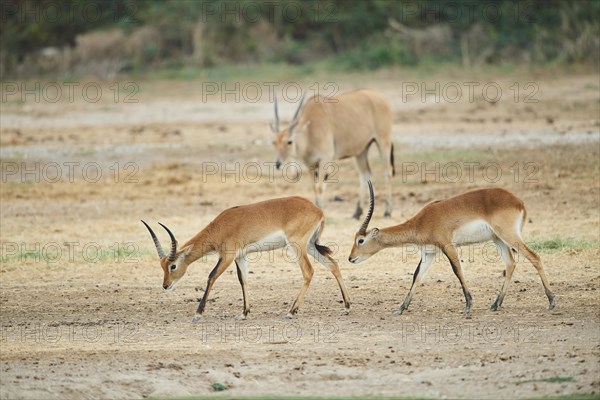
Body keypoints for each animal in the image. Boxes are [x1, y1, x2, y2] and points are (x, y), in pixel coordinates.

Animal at [141, 195, 350, 320]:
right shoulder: (240, 256)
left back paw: (291, 312)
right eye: (162, 267)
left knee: (308, 271)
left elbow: (211, 277)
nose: (166, 285)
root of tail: (318, 210)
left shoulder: (227, 256)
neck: (221, 226)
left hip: (297, 246)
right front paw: (244, 313)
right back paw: (347, 306)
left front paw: (198, 314)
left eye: (173, 266)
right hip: (310, 245)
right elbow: (243, 280)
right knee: (333, 264)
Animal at [270, 88, 394, 219]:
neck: (310, 131)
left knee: (387, 172)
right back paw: (357, 212)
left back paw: (387, 211)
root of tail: (381, 97)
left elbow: (320, 187)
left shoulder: (325, 159)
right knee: (365, 174)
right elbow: (315, 187)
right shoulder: (311, 164)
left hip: (383, 142)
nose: (278, 164)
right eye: (274, 142)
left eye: (289, 141)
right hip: (361, 151)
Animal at [350, 181, 556, 316]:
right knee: (511, 264)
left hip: (508, 236)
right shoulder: (429, 253)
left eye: (360, 240)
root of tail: (518, 201)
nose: (350, 258)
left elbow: (457, 270)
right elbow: (417, 276)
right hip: (498, 239)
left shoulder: (447, 245)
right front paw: (400, 308)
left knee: (534, 256)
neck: (422, 221)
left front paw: (468, 306)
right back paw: (495, 304)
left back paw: (552, 301)